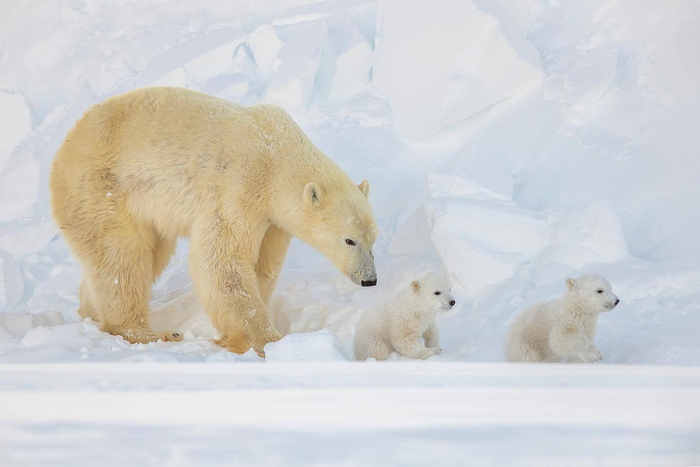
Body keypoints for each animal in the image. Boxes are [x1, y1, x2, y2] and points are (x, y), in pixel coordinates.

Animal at [49, 87, 378, 355]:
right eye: (349, 240)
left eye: (374, 240)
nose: (370, 280)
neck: (275, 154)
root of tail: (63, 150)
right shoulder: (238, 186)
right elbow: (224, 260)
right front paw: (267, 341)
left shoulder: (273, 220)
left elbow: (264, 264)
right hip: (103, 190)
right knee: (122, 257)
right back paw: (152, 332)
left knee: (147, 253)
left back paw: (92, 314)